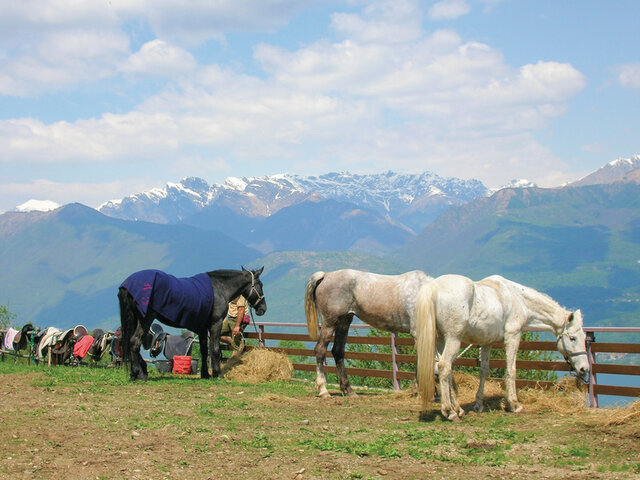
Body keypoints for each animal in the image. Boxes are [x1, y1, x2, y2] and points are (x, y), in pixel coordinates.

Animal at [119, 264, 266, 380]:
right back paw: (140, 374)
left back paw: (137, 372)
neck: (219, 288)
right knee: (135, 342)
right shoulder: (215, 324)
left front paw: (206, 374)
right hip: (145, 319)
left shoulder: (202, 328)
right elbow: (215, 349)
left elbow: (204, 350)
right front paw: (217, 374)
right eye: (261, 285)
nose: (263, 309)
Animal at [304, 270, 432, 398]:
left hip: (344, 322)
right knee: (320, 350)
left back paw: (349, 390)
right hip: (329, 324)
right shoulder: (418, 333)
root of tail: (325, 276)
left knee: (338, 352)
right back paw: (323, 390)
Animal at [416, 274, 592, 420]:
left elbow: (484, 370)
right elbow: (511, 370)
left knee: (444, 370)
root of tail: (433, 288)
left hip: (441, 340)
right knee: (444, 366)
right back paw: (449, 412)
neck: (518, 298)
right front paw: (515, 405)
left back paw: (458, 409)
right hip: (453, 338)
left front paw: (478, 404)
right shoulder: (513, 336)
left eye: (584, 338)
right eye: (573, 338)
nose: (584, 369)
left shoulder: (486, 342)